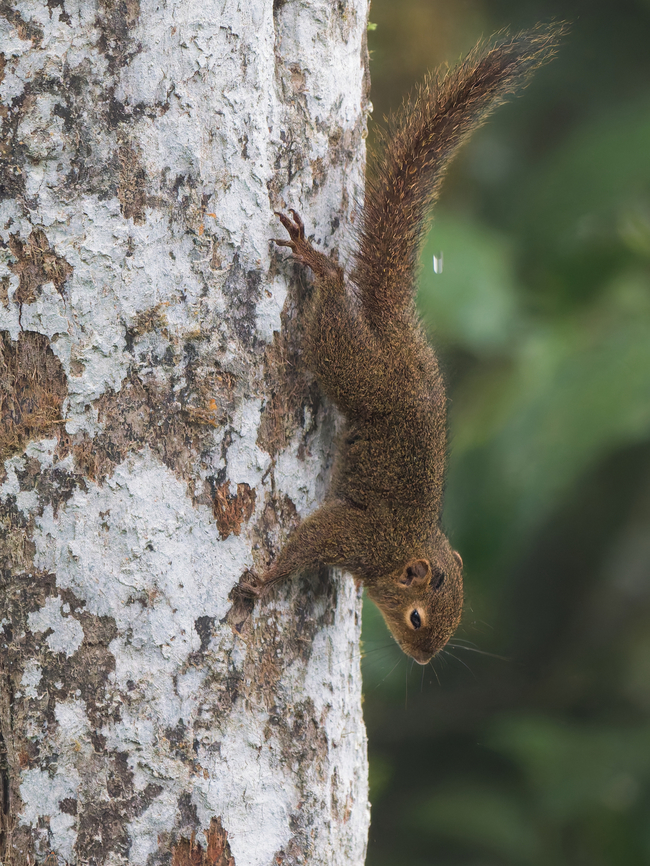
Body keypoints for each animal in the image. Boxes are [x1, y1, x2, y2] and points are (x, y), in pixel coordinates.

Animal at [239, 25, 563, 664]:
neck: (404, 550)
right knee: (333, 312)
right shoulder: (358, 538)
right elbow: (309, 541)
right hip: (356, 369)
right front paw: (266, 580)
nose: (421, 659)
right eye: (417, 618)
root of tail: (399, 337)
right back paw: (320, 265)